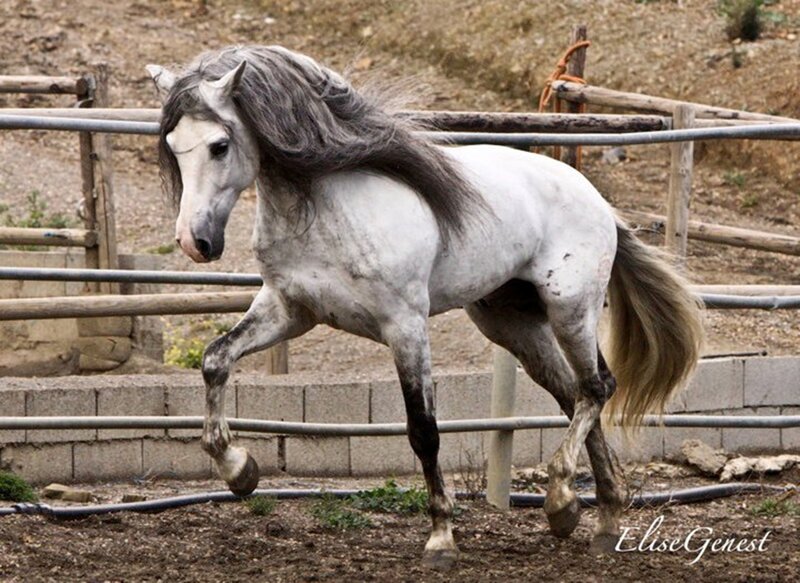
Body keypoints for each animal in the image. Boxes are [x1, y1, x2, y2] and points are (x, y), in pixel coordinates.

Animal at [146, 45, 703, 569]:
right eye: (172, 147)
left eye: (219, 146)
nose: (194, 242)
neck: (328, 209)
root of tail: (596, 200)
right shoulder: (289, 310)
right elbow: (216, 359)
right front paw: (239, 470)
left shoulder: (405, 326)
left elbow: (424, 432)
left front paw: (441, 539)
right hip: (513, 325)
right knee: (574, 395)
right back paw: (596, 519)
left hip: (570, 309)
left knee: (597, 387)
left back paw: (564, 499)